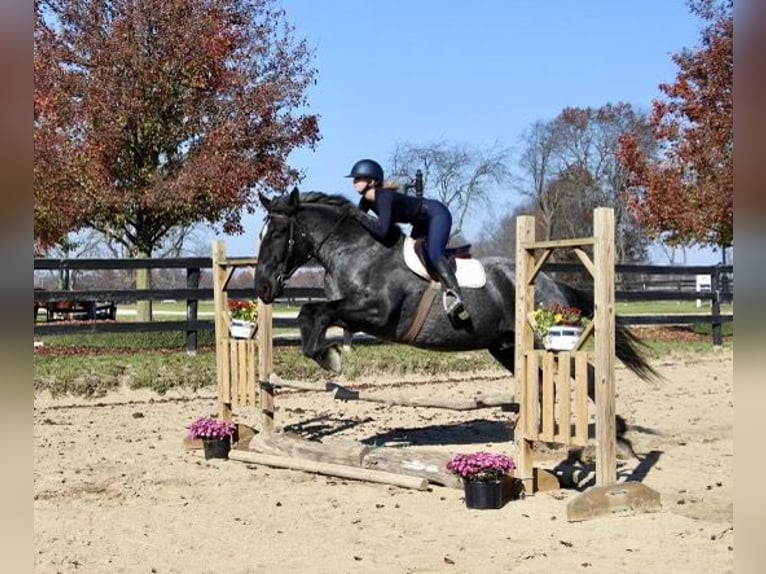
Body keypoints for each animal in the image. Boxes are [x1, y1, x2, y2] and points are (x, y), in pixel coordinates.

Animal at [255, 190, 664, 396]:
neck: (357, 249)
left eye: (276, 234)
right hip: (507, 347)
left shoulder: (377, 312)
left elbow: (317, 311)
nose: (262, 287)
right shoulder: (354, 313)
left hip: (547, 341)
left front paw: (331, 358)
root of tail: (551, 284)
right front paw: (328, 355)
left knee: (587, 377)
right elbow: (312, 313)